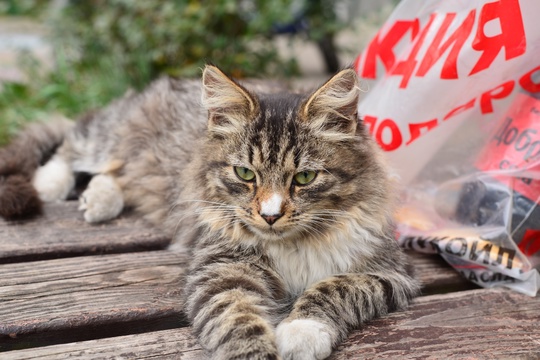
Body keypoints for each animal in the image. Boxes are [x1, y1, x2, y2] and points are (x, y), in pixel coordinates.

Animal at [0, 65, 420, 360]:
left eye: (304, 177)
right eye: (245, 174)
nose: (270, 215)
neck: (293, 244)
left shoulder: (391, 272)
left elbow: (335, 288)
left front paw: (301, 331)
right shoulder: (221, 269)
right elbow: (236, 320)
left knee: (111, 173)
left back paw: (99, 199)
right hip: (107, 137)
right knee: (71, 144)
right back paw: (52, 185)